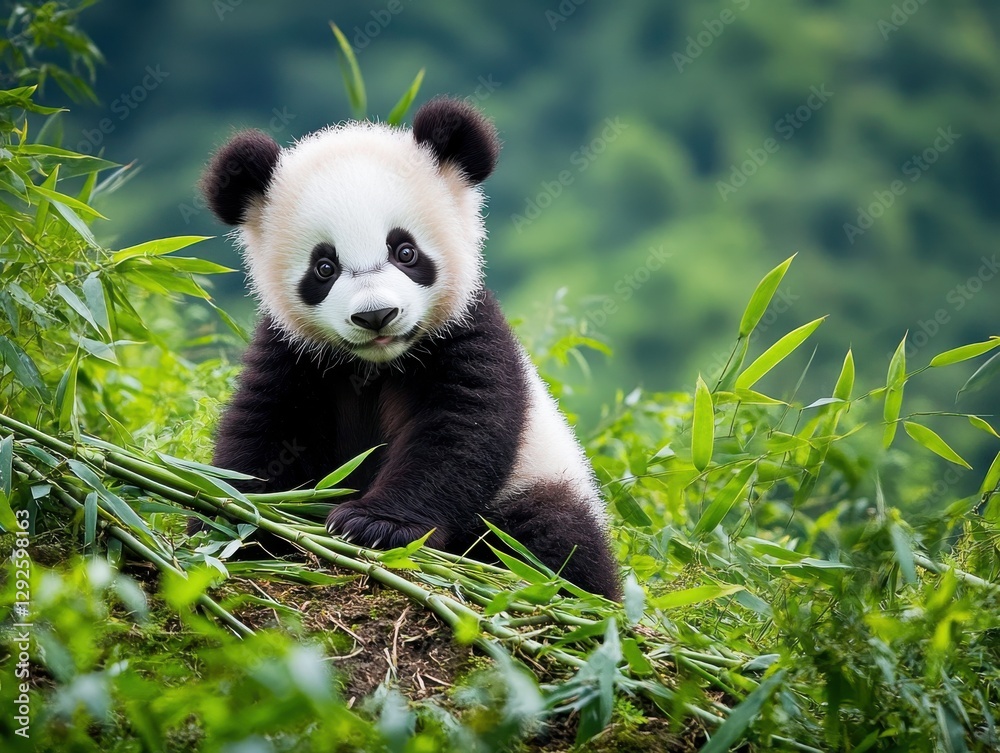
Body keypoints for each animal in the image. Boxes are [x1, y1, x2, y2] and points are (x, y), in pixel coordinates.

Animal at [197, 97, 619, 600]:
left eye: (405, 252)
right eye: (324, 267)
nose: (376, 315)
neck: (375, 364)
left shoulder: (463, 334)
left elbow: (457, 431)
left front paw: (373, 526)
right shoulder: (296, 353)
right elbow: (267, 433)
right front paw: (233, 523)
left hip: (536, 479)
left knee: (551, 539)